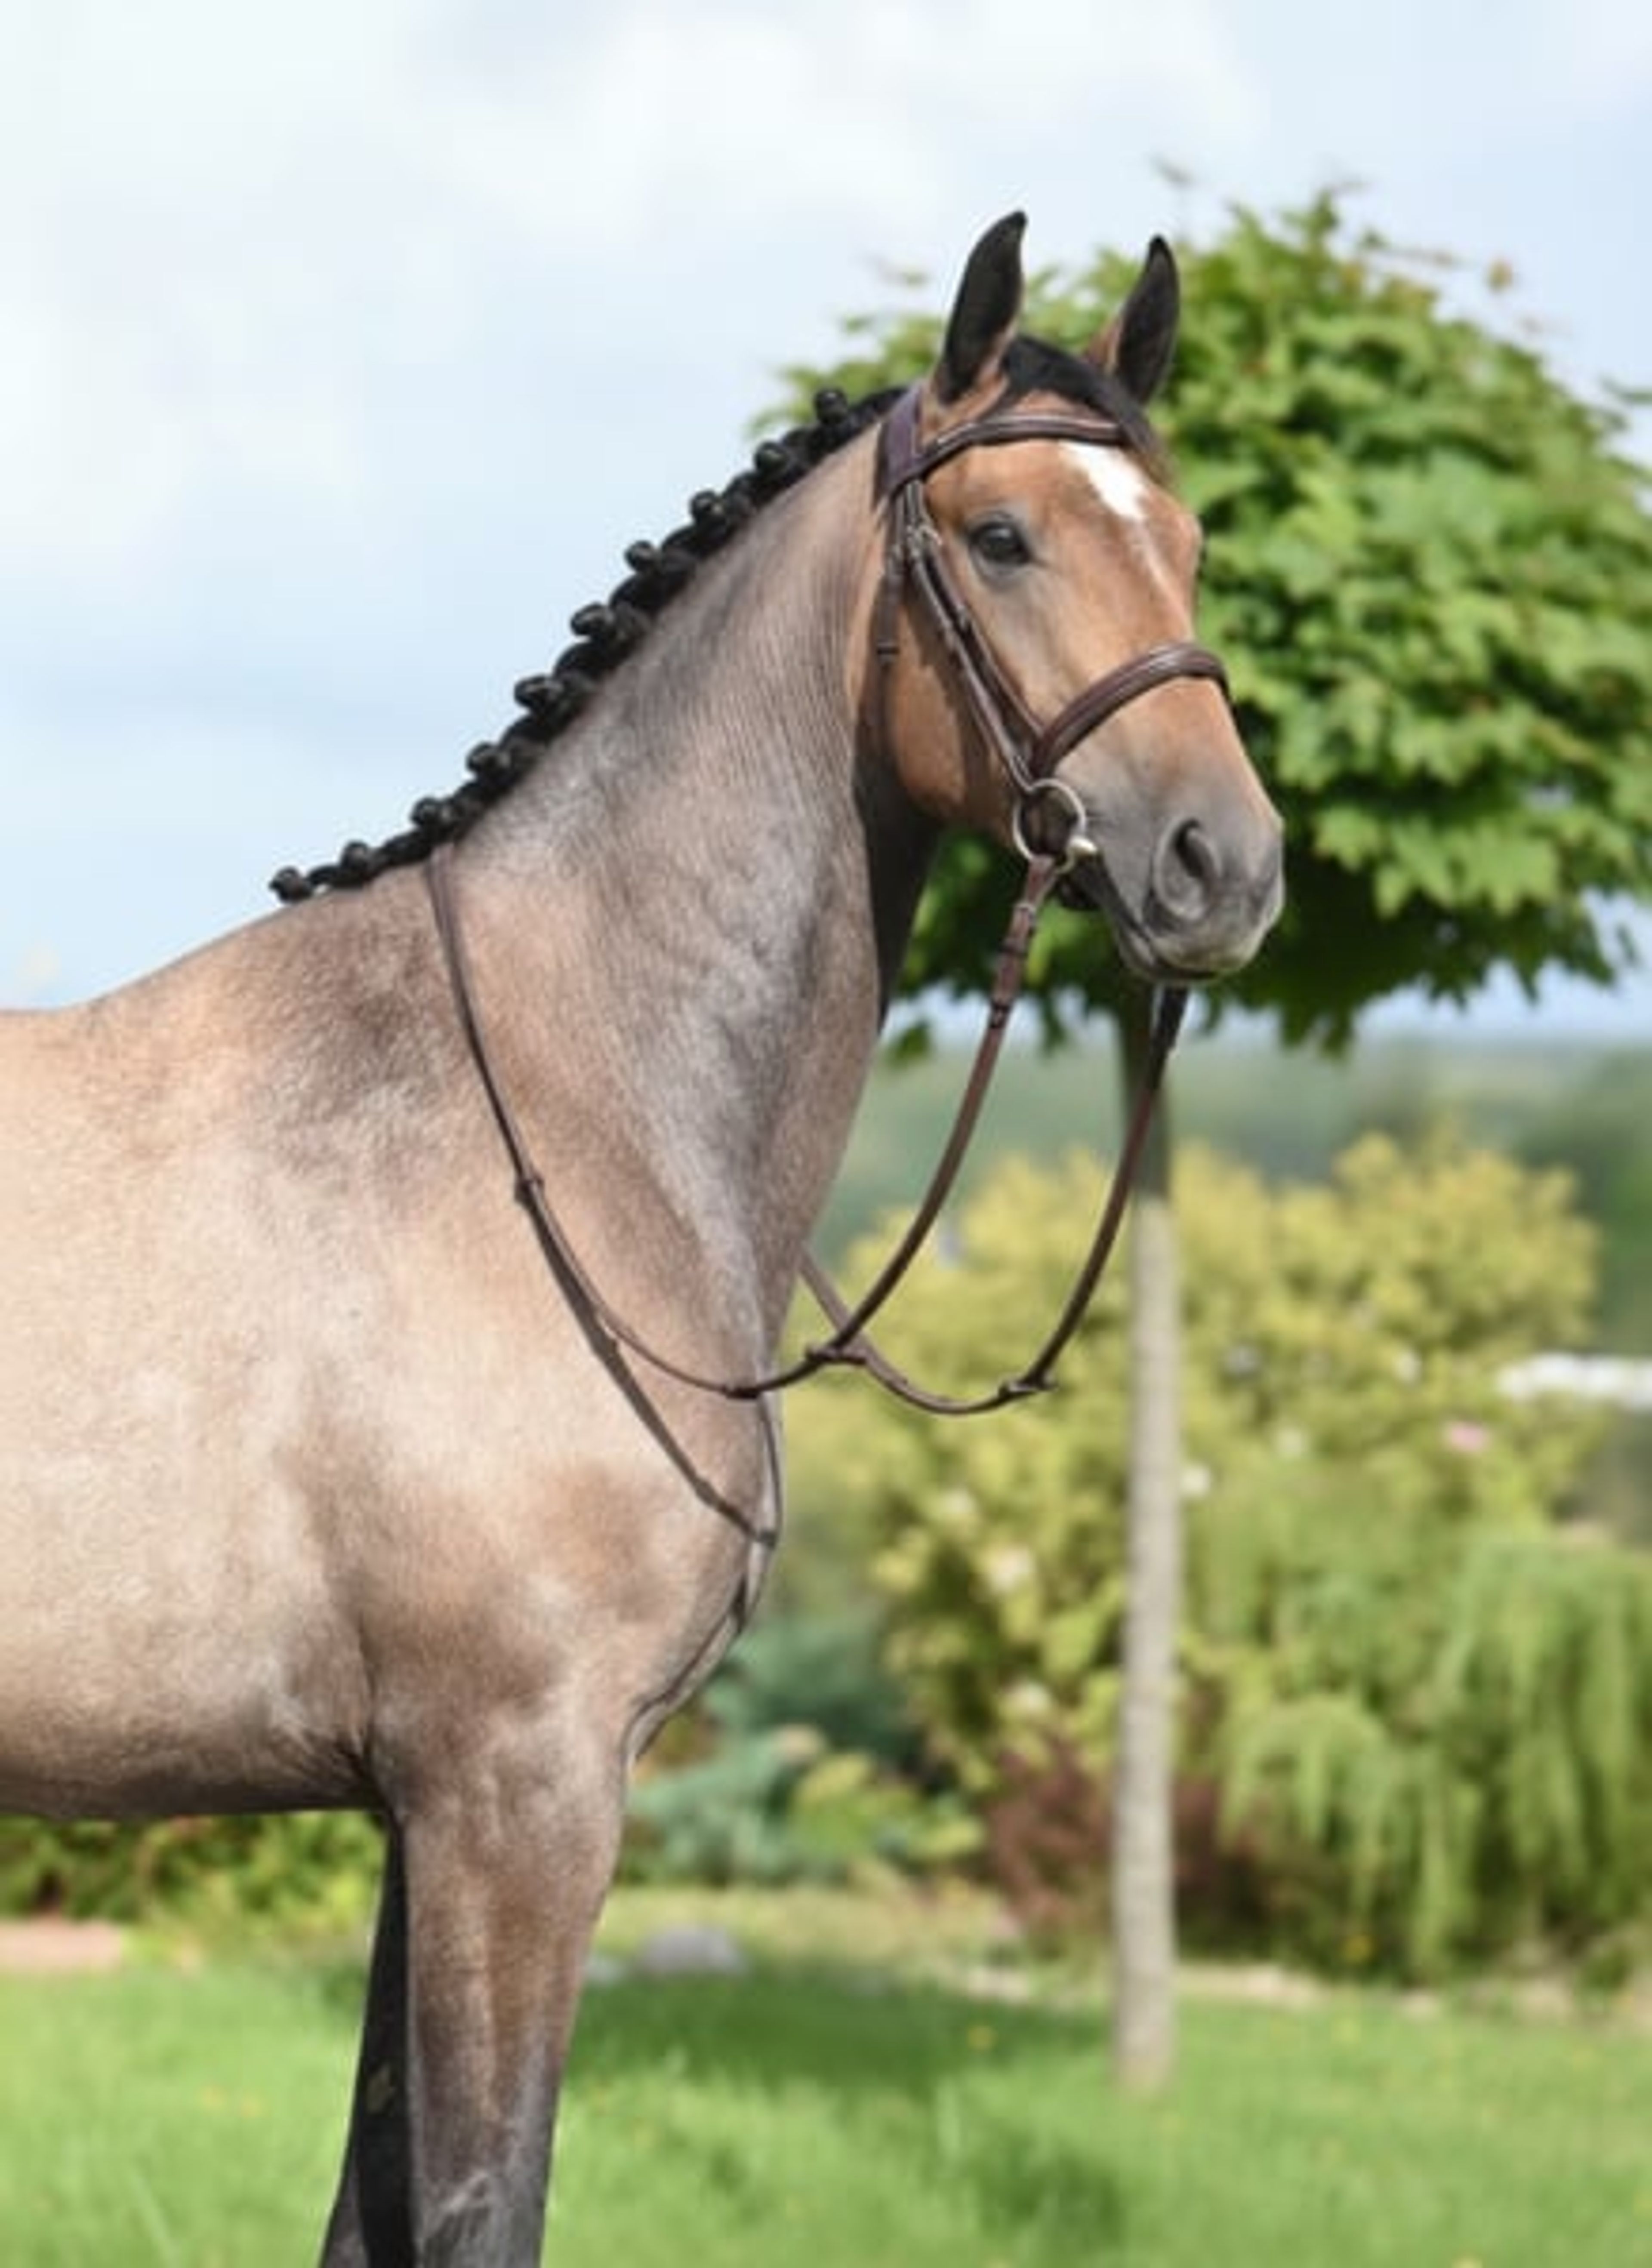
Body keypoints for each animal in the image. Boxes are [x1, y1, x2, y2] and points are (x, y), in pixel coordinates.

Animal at [0, 213, 1282, 2262]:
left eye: (1189, 539)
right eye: (1003, 535)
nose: (1221, 868)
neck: (561, 1105)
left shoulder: (432, 1810)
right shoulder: (517, 1786)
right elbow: (475, 2201)